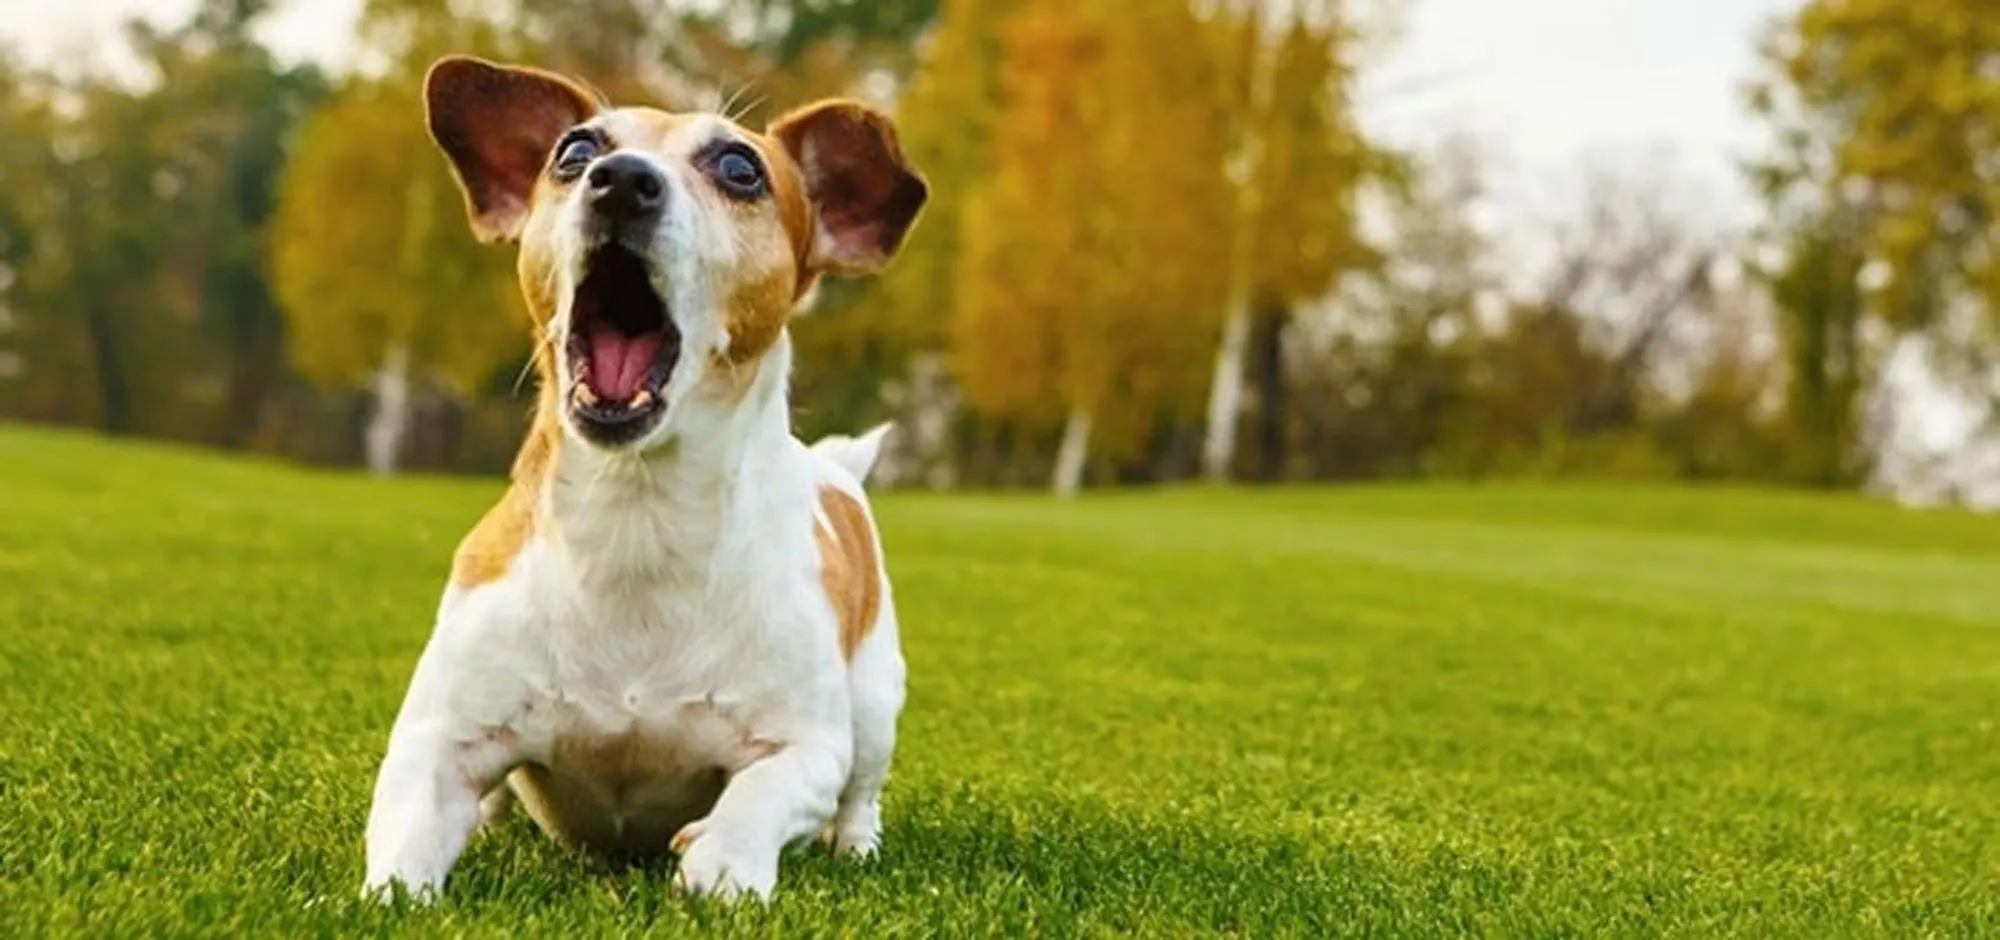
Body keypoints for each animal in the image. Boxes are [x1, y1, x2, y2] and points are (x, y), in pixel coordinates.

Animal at [360, 53, 920, 904]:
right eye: (574, 152)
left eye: (740, 168)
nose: (621, 180)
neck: (636, 515)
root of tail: (833, 468)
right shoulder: (438, 738)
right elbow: (405, 845)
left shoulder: (807, 749)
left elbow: (763, 794)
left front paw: (724, 861)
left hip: (876, 700)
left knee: (861, 792)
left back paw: (854, 847)